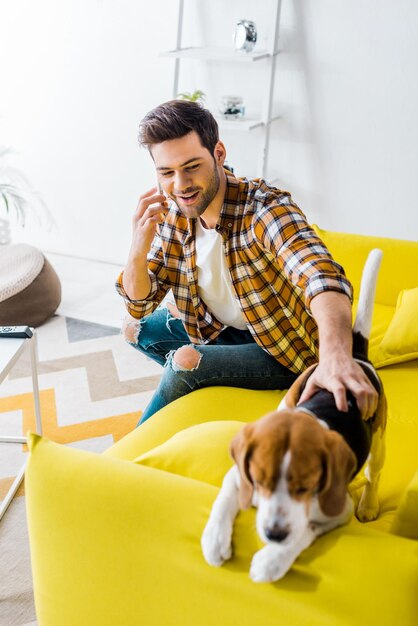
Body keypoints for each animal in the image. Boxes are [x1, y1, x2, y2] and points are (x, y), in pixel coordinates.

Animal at [201, 247, 386, 580]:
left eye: (305, 487)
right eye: (260, 480)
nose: (274, 534)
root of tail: (355, 358)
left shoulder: (337, 511)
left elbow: (305, 530)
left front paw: (272, 561)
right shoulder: (238, 473)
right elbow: (224, 498)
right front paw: (214, 538)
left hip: (378, 443)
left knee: (372, 474)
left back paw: (369, 505)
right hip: (288, 399)